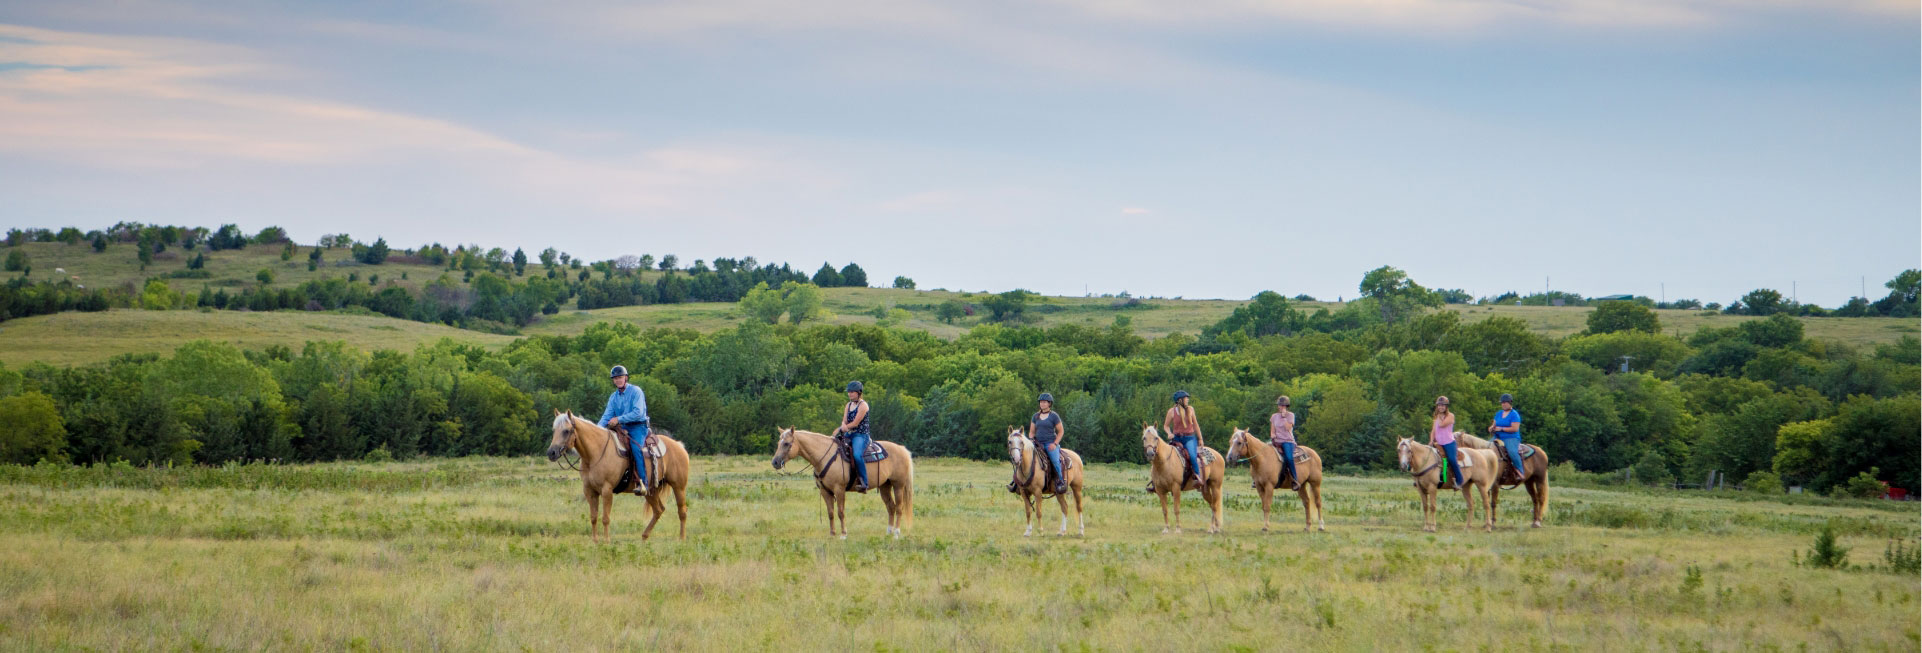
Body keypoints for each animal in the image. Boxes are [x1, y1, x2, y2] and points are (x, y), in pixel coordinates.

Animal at [542, 411, 691, 541]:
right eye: (554, 430)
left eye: (566, 431)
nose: (551, 452)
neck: (596, 453)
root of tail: (679, 446)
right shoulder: (590, 491)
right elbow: (593, 517)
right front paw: (595, 541)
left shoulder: (607, 490)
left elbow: (605, 518)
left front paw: (607, 541)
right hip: (651, 491)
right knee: (658, 510)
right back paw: (644, 537)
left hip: (679, 486)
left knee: (682, 511)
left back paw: (682, 538)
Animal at [764, 426, 914, 537]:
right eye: (778, 443)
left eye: (786, 443)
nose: (775, 462)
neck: (825, 456)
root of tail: (902, 449)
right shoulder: (825, 491)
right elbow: (830, 512)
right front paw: (832, 534)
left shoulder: (839, 489)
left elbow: (840, 512)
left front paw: (843, 534)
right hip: (884, 486)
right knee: (891, 507)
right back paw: (889, 532)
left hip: (898, 485)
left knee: (899, 507)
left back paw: (896, 533)